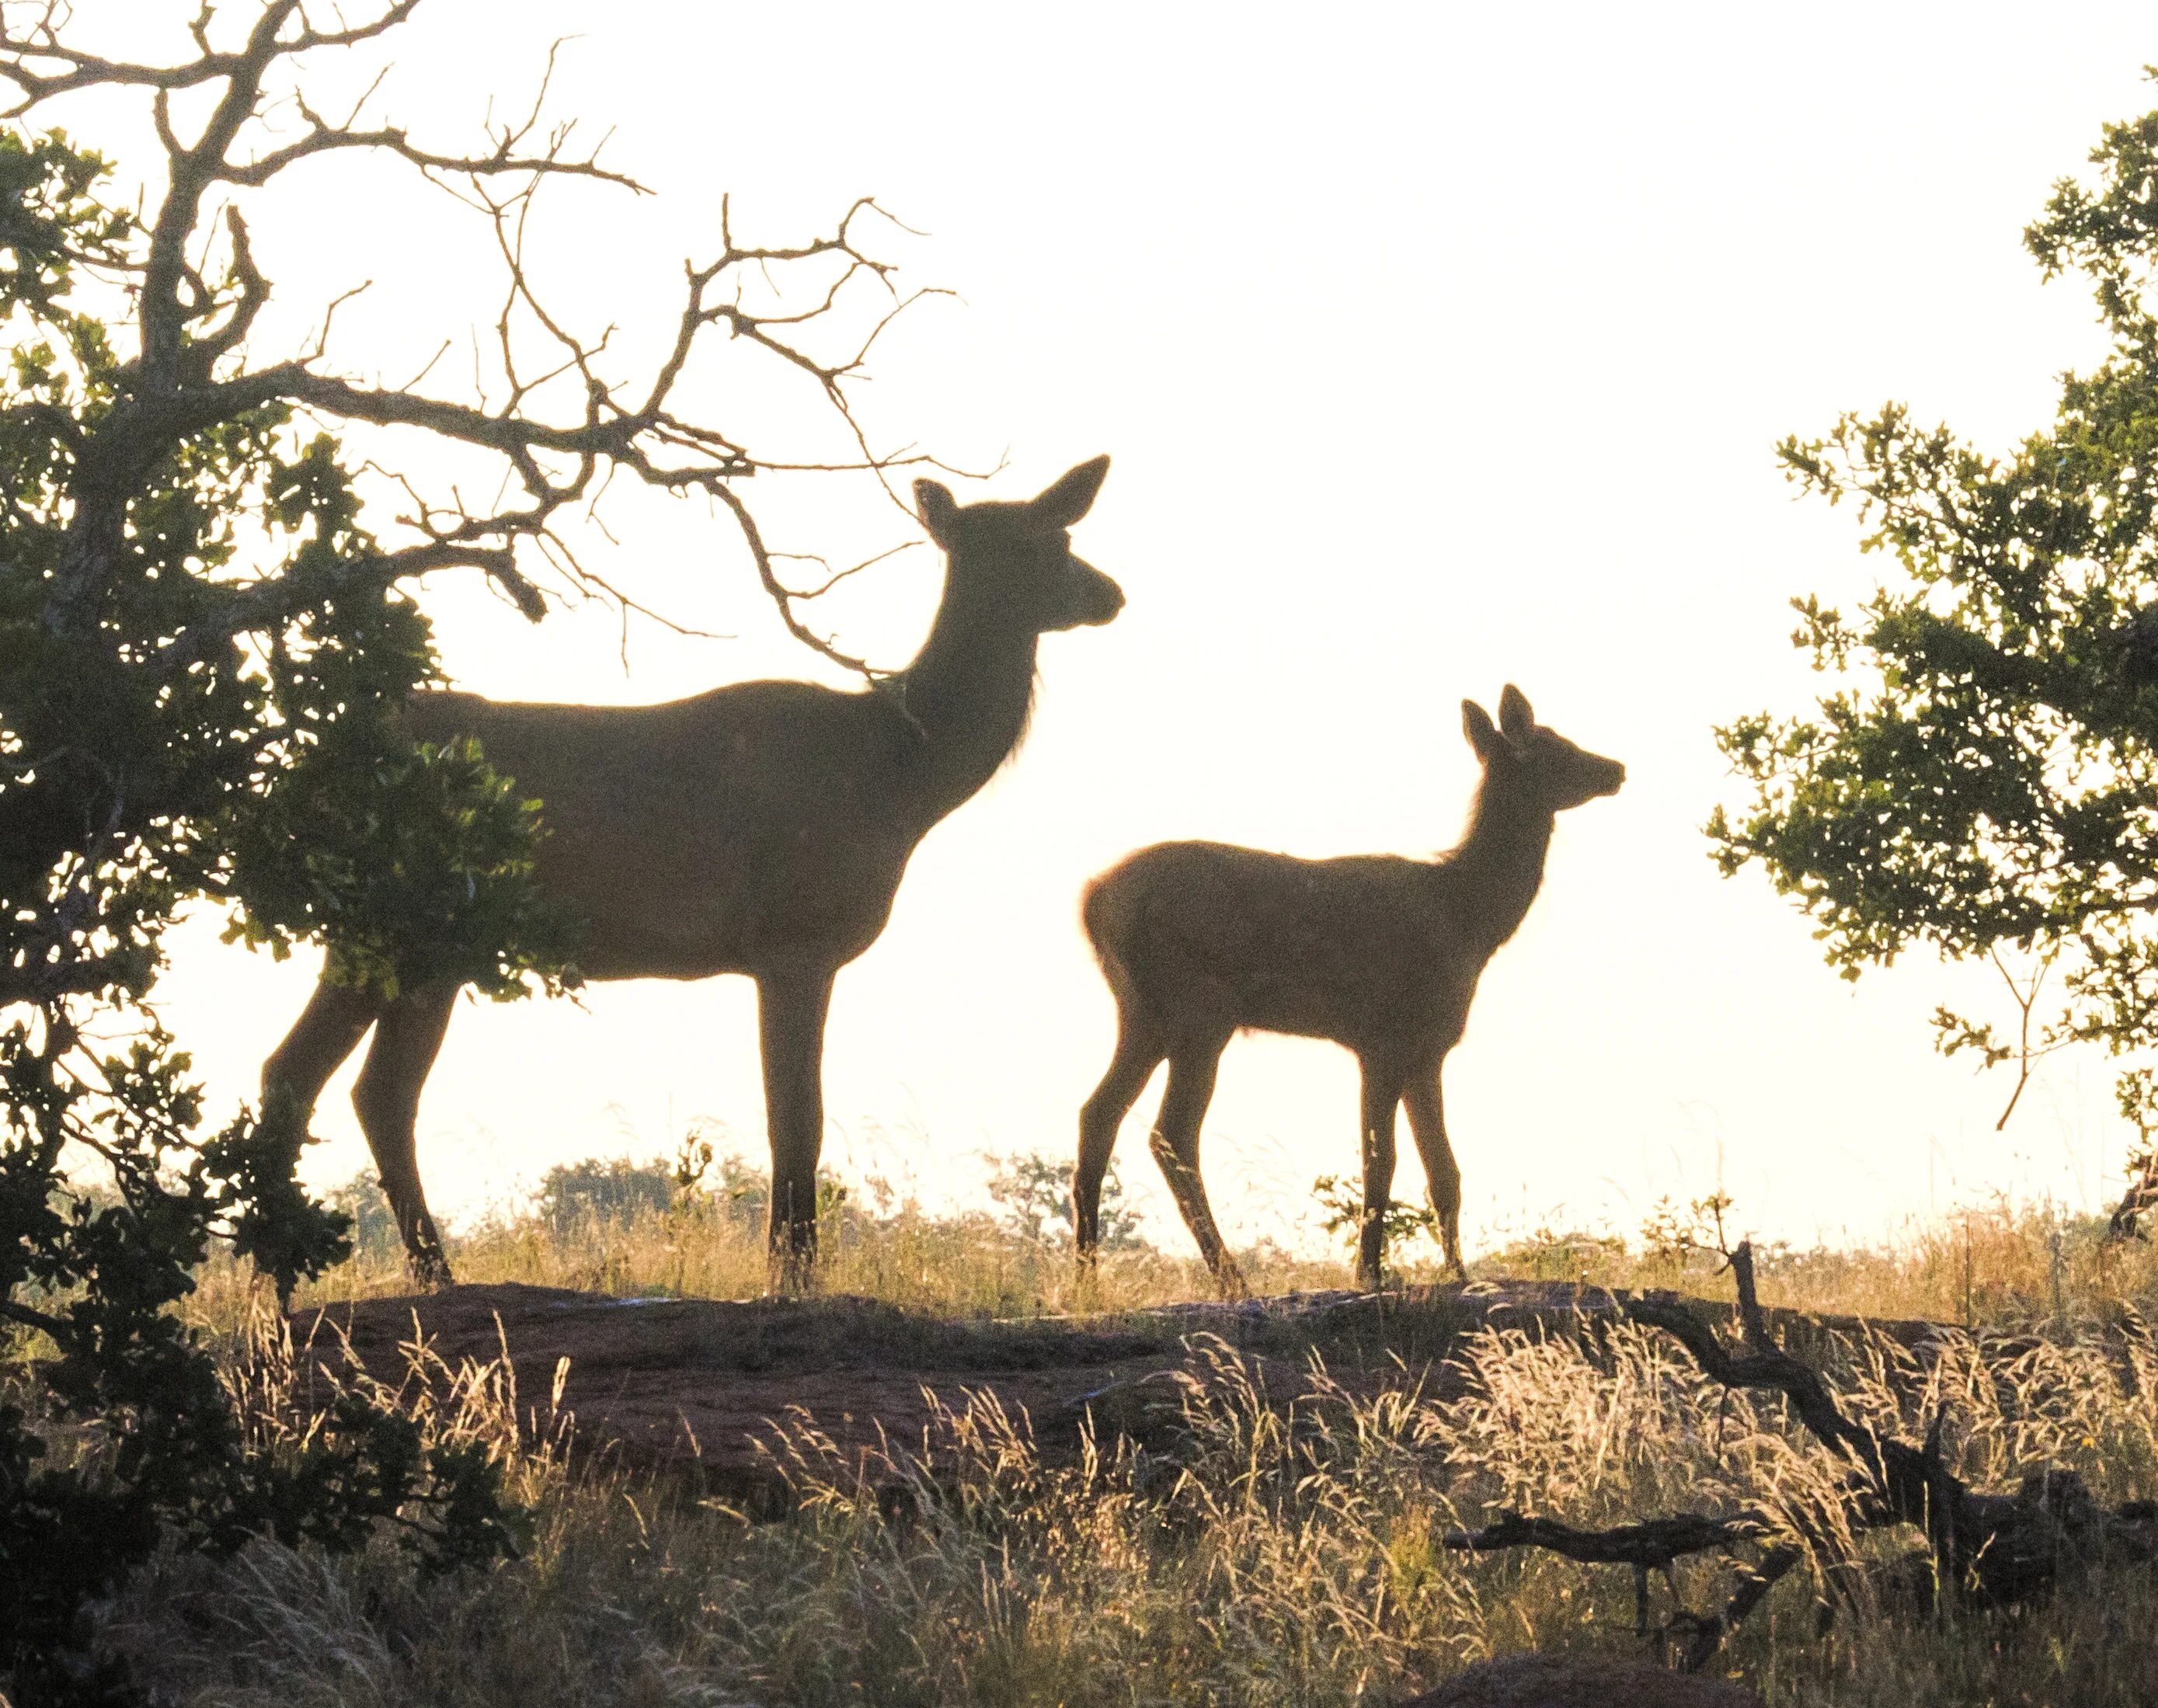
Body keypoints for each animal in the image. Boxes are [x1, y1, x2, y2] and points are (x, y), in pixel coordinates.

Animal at [261, 459, 1122, 1285]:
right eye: (1041, 544)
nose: (1110, 593)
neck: (901, 779)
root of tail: (312, 775)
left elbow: (791, 1117)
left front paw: (789, 1261)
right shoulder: (794, 936)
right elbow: (797, 1116)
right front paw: (793, 1269)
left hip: (419, 946)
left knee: (352, 1086)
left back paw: (379, 1268)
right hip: (398, 923)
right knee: (322, 1077)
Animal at [1074, 685, 1623, 1293]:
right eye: (1555, 745)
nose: (1617, 768)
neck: (1467, 921)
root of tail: (1091, 902)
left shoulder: (1427, 1048)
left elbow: (1444, 1172)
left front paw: (1458, 1273)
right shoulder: (1383, 1036)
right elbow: (1381, 1161)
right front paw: (1371, 1273)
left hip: (1144, 1013)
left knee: (1097, 1114)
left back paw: (1086, 1277)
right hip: (1200, 1010)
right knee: (1170, 1134)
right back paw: (1230, 1279)